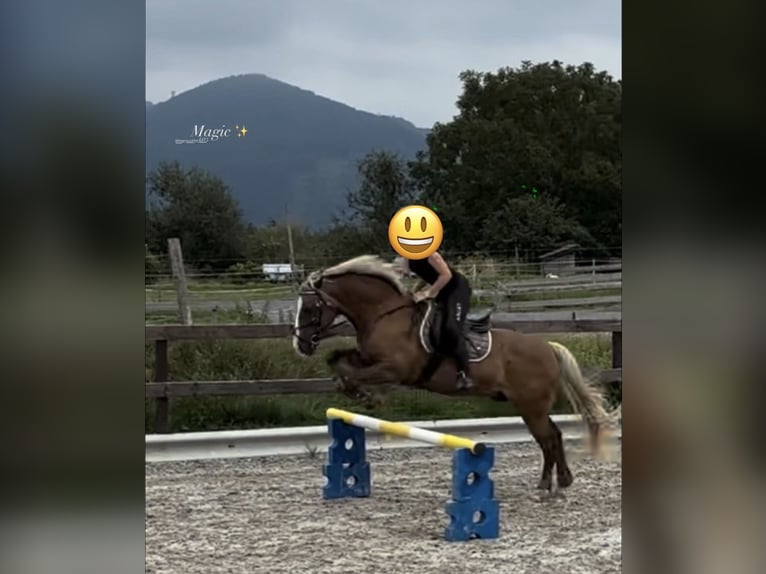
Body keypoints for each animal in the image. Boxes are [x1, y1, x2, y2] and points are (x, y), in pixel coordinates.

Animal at [291, 254, 617, 493]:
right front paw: (352, 389)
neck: (384, 314)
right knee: (552, 436)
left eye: (308, 308)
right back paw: (556, 481)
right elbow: (337, 361)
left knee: (548, 438)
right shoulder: (368, 358)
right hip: (529, 406)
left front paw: (367, 396)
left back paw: (553, 484)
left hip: (531, 405)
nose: (300, 345)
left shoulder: (395, 369)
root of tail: (548, 347)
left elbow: (360, 376)